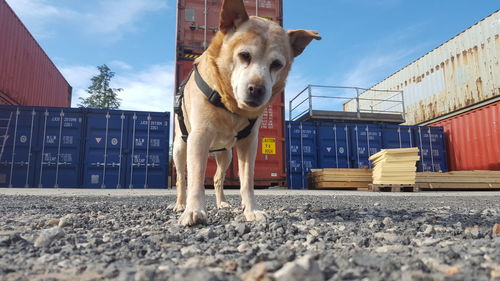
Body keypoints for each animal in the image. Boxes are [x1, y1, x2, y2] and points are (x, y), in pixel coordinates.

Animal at [172, 0, 320, 225]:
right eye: (244, 55)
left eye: (276, 64)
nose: (257, 89)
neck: (231, 106)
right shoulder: (199, 137)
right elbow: (196, 178)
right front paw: (194, 211)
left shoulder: (249, 144)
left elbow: (247, 181)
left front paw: (251, 210)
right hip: (180, 147)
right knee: (181, 178)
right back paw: (180, 204)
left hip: (226, 155)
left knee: (218, 178)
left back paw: (222, 203)